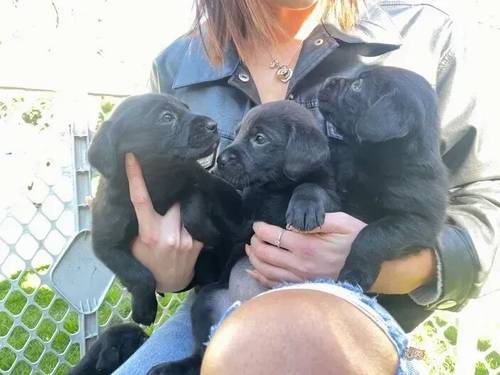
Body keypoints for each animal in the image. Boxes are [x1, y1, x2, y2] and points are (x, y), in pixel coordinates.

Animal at [90, 94, 246, 326]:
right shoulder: (106, 244)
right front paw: (144, 309)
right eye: (166, 117)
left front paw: (209, 234)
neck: (158, 182)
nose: (213, 125)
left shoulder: (194, 182)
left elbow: (193, 208)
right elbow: (138, 274)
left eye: (187, 108)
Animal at [148, 100, 342, 375]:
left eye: (259, 139)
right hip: (206, 301)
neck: (275, 188)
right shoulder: (241, 219)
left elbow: (312, 187)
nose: (220, 160)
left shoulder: (334, 198)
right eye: (237, 133)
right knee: (202, 353)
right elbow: (218, 191)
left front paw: (304, 207)